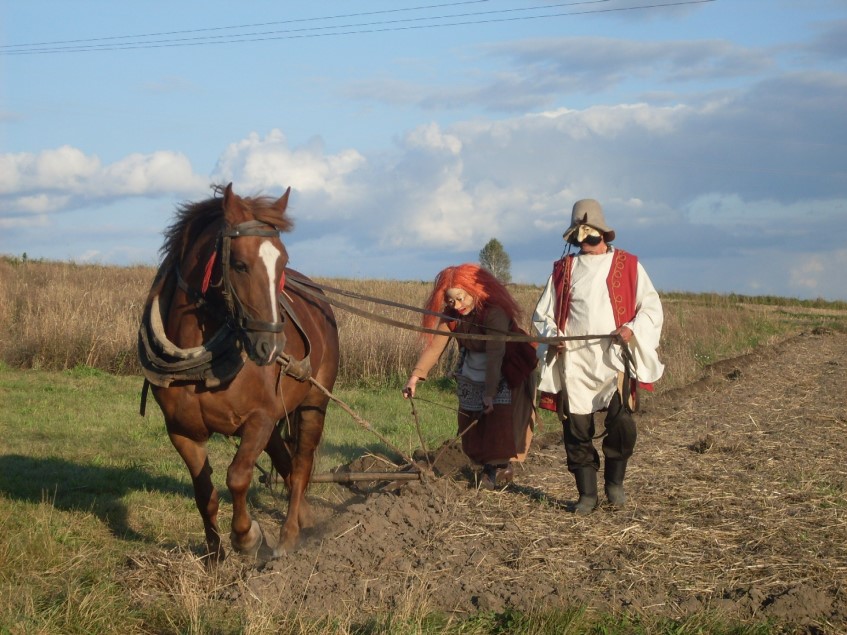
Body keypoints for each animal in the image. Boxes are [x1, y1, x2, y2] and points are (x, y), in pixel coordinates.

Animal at [138, 183, 338, 560]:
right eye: (240, 265)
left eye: (283, 262)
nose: (271, 347)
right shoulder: (181, 431)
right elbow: (205, 492)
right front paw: (214, 556)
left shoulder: (259, 419)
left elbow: (237, 476)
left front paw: (246, 537)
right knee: (286, 462)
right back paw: (304, 519)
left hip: (313, 404)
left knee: (300, 468)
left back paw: (289, 535)